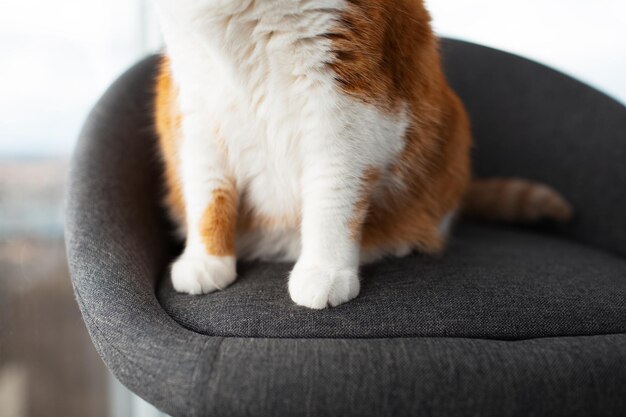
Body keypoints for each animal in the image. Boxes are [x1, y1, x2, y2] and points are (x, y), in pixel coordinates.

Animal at [152, 0, 572, 308]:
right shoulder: (195, 105)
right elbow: (208, 197)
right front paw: (206, 260)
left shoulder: (342, 107)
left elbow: (331, 199)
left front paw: (325, 269)